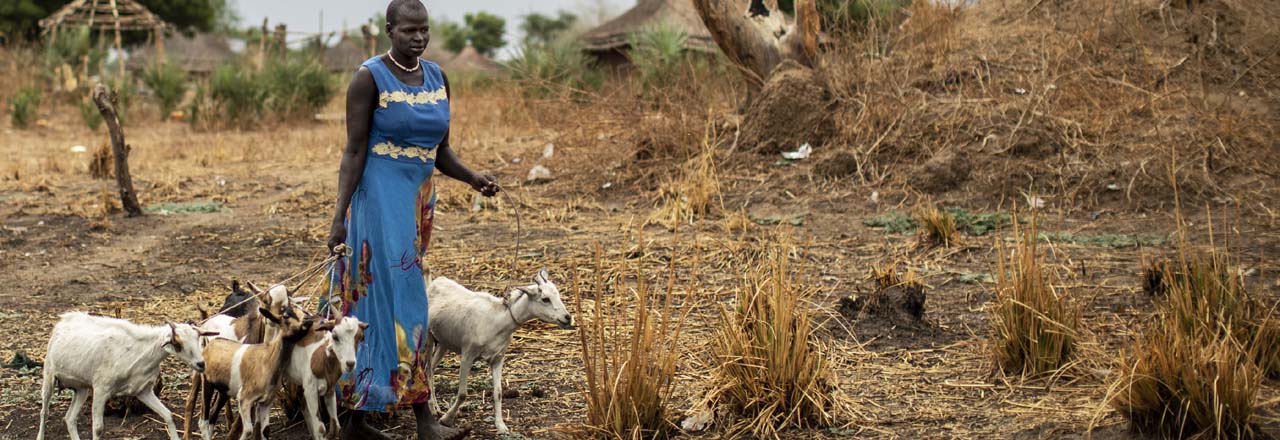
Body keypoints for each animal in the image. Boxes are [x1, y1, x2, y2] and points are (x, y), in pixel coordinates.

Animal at [36, 310, 215, 440]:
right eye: (178, 344)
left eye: (198, 338)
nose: (201, 364)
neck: (140, 350)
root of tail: (64, 320)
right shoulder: (101, 389)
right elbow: (98, 428)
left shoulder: (143, 391)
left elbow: (168, 415)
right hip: (49, 375)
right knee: (44, 412)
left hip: (82, 388)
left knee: (70, 418)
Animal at [199, 305, 320, 440]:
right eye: (286, 316)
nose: (308, 319)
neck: (268, 360)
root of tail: (209, 344)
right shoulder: (245, 398)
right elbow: (248, 430)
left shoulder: (266, 402)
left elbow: (266, 430)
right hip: (207, 382)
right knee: (203, 421)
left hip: (225, 390)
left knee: (212, 417)